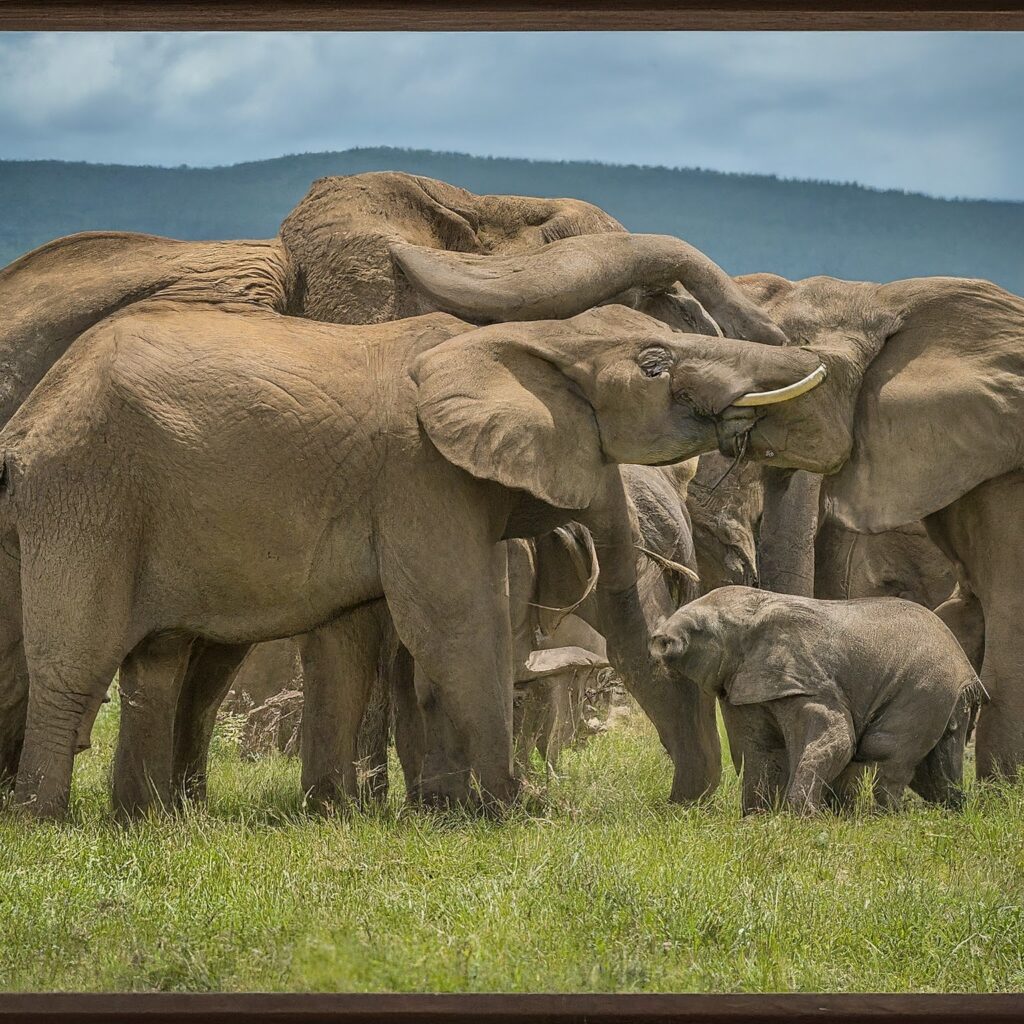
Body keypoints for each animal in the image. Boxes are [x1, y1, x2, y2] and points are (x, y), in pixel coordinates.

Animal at [651, 585, 987, 815]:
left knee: (888, 752)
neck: (753, 612)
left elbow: (838, 739)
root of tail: (968, 674)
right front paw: (755, 818)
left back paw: (890, 816)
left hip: (925, 690)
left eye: (698, 630)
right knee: (927, 766)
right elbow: (761, 748)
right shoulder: (746, 684)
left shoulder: (804, 678)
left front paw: (801, 818)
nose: (658, 641)